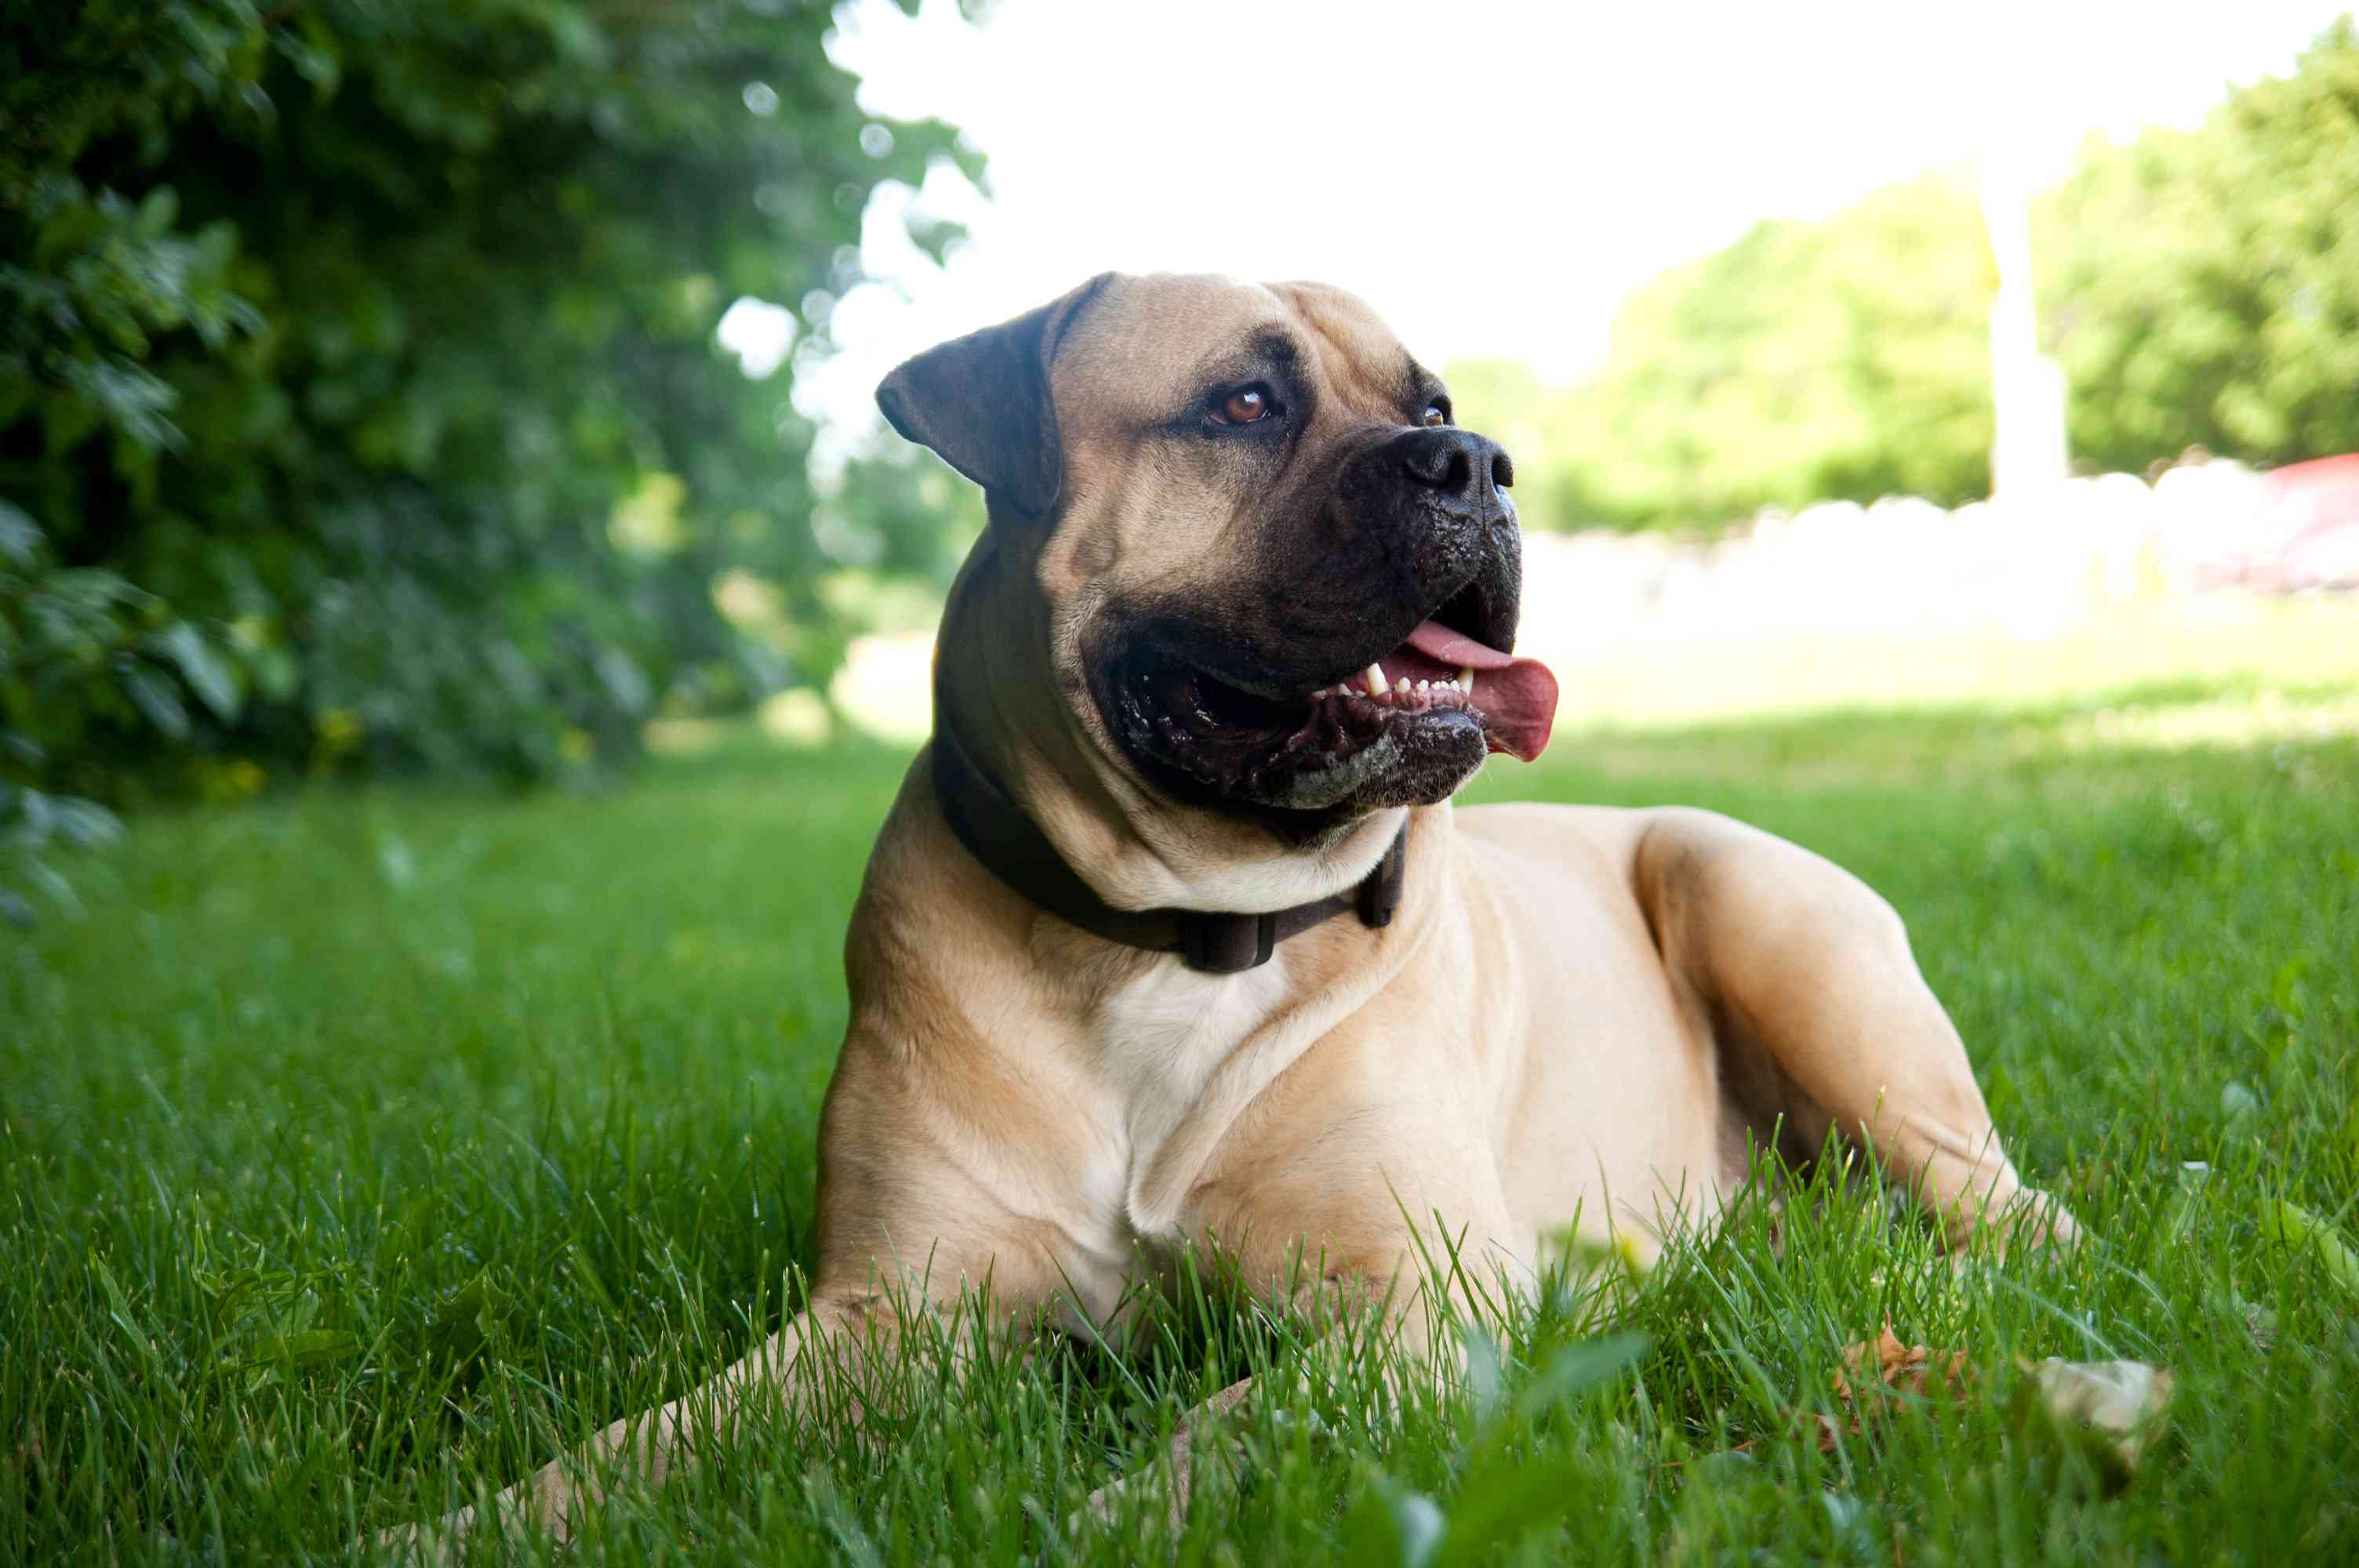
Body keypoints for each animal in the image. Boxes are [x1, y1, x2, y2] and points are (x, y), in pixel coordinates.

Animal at [396, 268, 2076, 1537]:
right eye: (1244, 405)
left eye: (1432, 409)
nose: (1480, 465)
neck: (1179, 932)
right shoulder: (883, 1316)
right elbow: (628, 1451)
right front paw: (453, 1527)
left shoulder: (1414, 1307)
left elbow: (1222, 1434)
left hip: (1760, 907)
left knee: (2004, 1207)